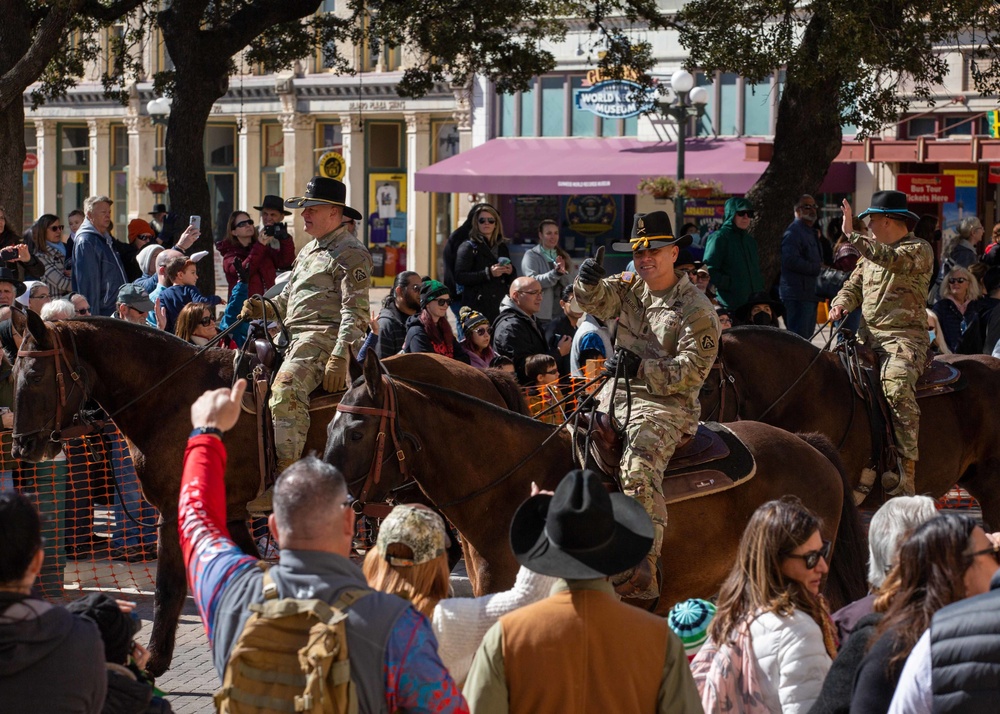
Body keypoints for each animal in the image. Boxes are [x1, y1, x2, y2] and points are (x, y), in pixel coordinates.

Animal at [7, 312, 524, 672]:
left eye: (34, 375)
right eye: (14, 372)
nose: (22, 445)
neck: (172, 397)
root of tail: (483, 375)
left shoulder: (177, 511)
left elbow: (171, 587)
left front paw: (152, 664)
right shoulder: (235, 513)